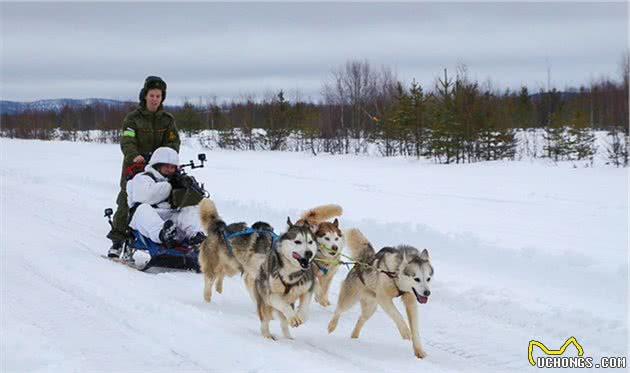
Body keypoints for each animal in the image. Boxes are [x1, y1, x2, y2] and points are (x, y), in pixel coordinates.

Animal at [326, 227, 434, 358]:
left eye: (428, 279)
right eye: (416, 279)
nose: (427, 293)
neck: (396, 274)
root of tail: (361, 262)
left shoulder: (411, 301)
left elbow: (415, 328)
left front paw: (419, 350)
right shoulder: (384, 299)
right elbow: (397, 314)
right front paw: (405, 332)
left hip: (370, 308)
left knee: (361, 318)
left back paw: (354, 336)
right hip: (350, 299)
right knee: (339, 309)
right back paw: (331, 326)